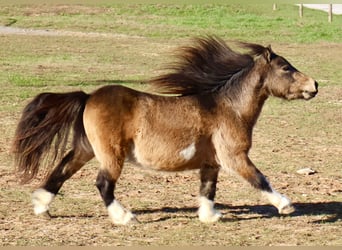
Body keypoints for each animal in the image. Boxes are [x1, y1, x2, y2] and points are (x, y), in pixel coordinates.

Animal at [12, 36, 318, 226]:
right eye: (285, 68)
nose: (314, 85)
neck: (229, 108)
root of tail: (88, 97)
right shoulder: (234, 156)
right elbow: (259, 179)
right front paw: (285, 205)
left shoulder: (211, 162)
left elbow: (208, 189)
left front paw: (210, 216)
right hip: (111, 154)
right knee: (103, 184)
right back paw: (125, 218)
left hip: (86, 149)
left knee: (61, 172)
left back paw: (42, 208)